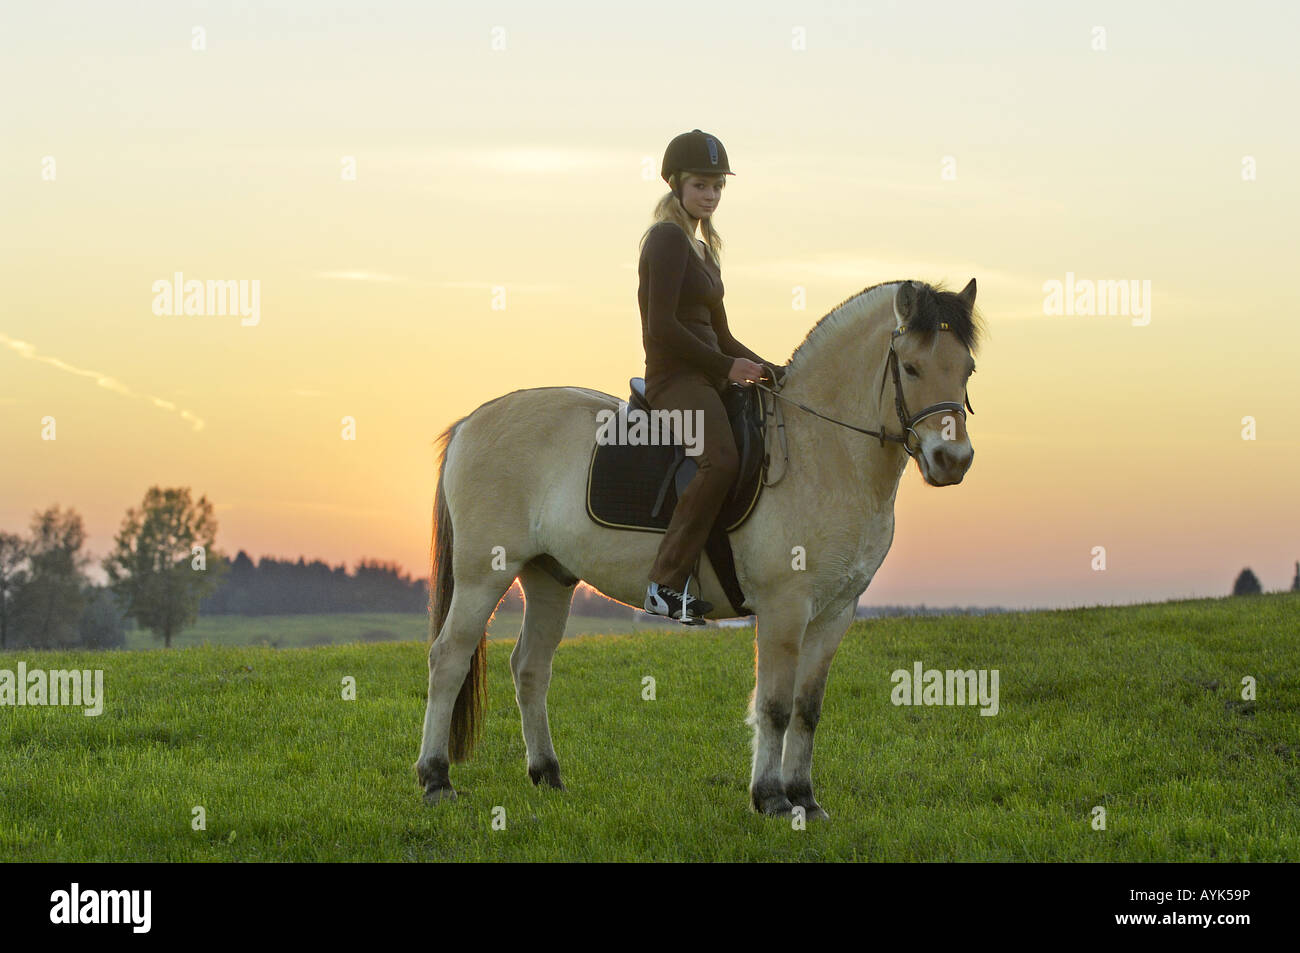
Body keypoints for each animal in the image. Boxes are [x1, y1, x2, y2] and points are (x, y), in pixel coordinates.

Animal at [418, 276, 982, 816]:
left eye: (968, 369)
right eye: (910, 367)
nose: (953, 461)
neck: (821, 451)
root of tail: (471, 422)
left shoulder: (836, 612)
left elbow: (807, 708)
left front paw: (806, 798)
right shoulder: (784, 607)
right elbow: (775, 706)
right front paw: (772, 799)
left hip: (549, 576)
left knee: (531, 668)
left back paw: (547, 775)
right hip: (483, 575)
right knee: (449, 658)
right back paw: (436, 779)